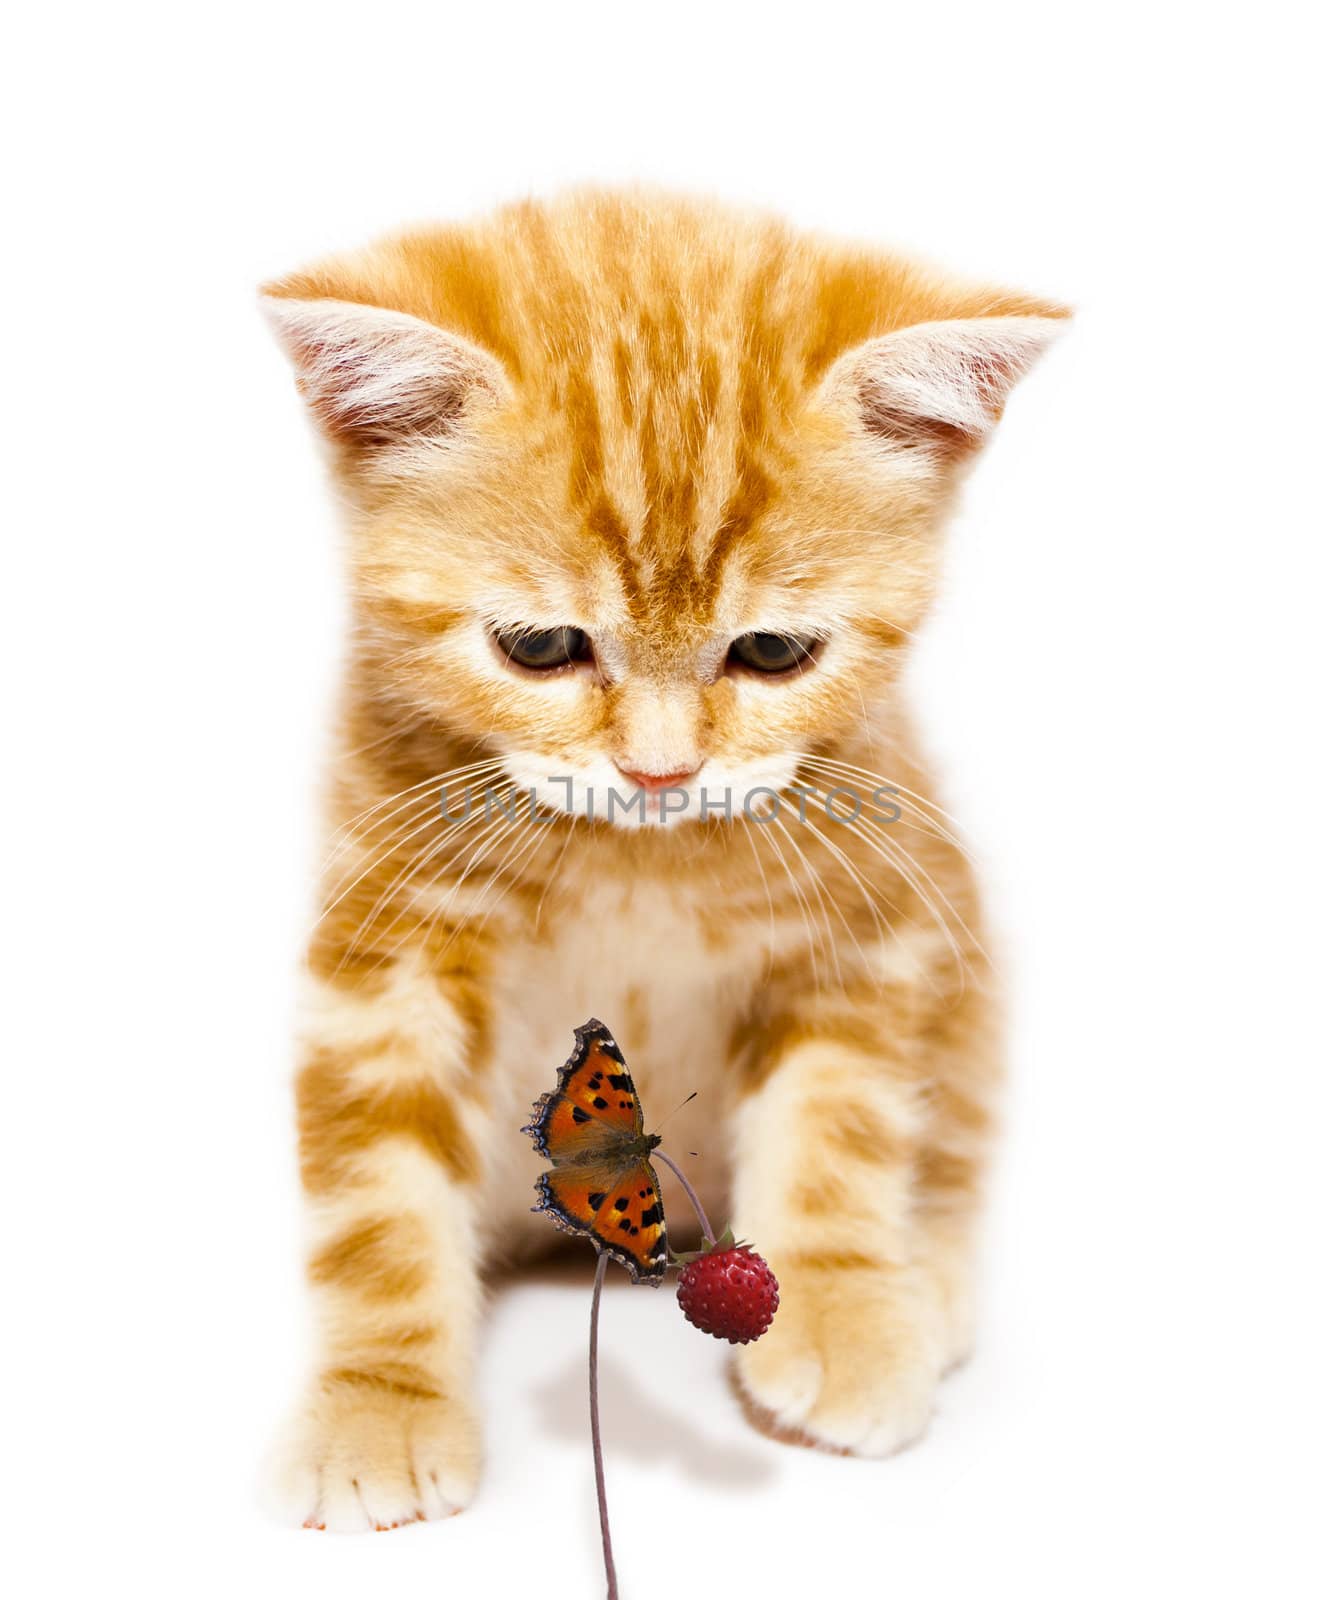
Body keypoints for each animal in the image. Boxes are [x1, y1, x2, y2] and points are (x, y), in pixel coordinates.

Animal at [259, 193, 1068, 1529]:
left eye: (773, 652)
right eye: (539, 647)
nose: (659, 772)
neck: (634, 864)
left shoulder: (862, 925)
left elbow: (839, 1125)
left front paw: (842, 1305)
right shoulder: (388, 937)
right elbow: (377, 1184)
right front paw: (378, 1395)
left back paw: (924, 1276)